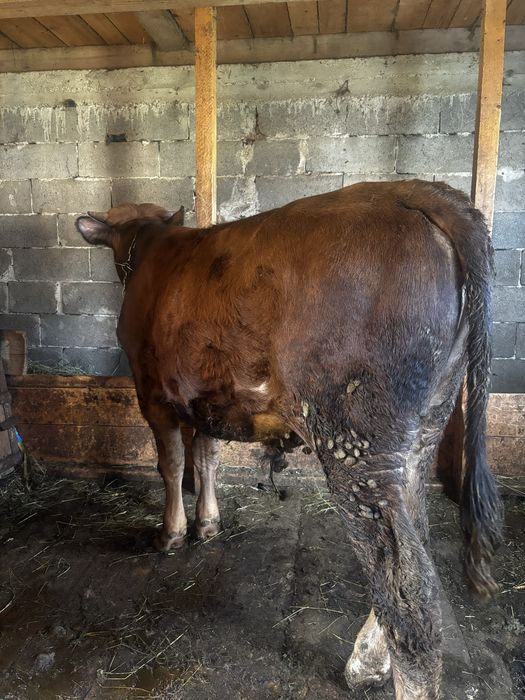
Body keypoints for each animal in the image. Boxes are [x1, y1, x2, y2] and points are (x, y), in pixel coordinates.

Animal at [76, 180, 502, 700]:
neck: (151, 243)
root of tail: (419, 191)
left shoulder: (151, 393)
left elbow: (172, 464)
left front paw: (171, 532)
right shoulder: (205, 400)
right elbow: (206, 457)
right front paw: (207, 523)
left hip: (356, 442)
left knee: (406, 586)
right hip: (421, 434)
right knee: (414, 540)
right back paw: (367, 659)